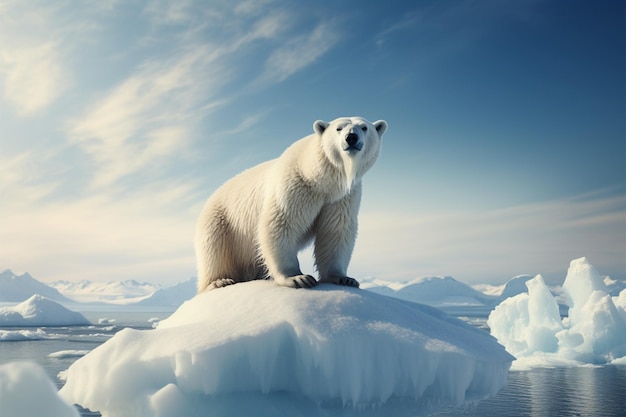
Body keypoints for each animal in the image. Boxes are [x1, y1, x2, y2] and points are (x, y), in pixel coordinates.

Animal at [195, 115, 386, 290]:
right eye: (338, 128)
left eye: (364, 128)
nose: (351, 137)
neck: (319, 179)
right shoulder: (295, 186)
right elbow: (281, 223)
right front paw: (298, 278)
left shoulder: (342, 198)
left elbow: (336, 231)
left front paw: (343, 278)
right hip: (221, 221)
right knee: (214, 250)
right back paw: (219, 281)